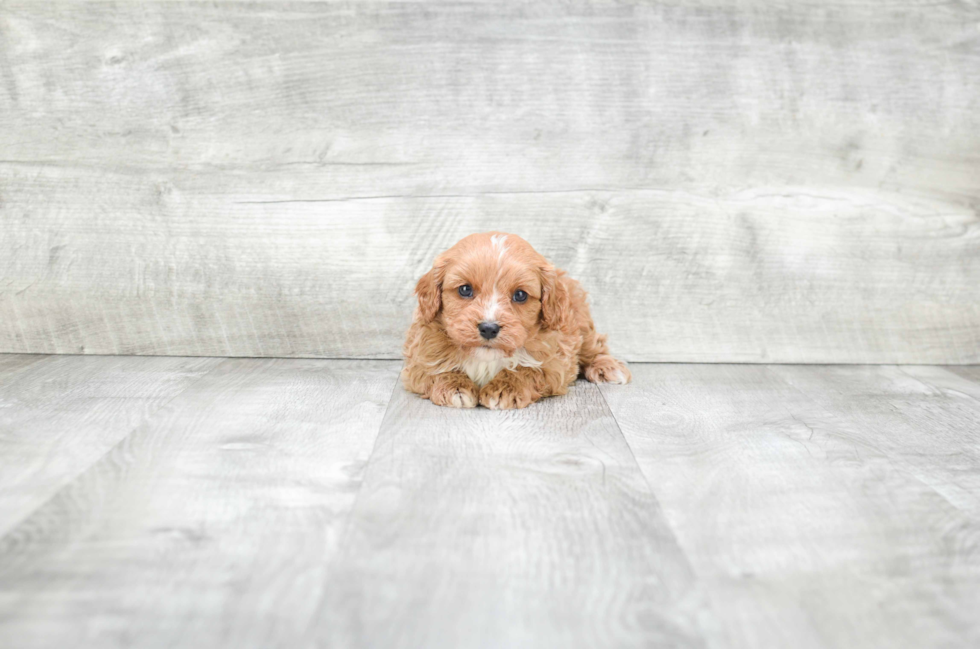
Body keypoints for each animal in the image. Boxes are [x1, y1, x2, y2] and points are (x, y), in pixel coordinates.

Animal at [402, 230, 632, 408]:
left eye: (520, 295)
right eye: (465, 289)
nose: (488, 328)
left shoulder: (555, 362)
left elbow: (527, 370)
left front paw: (505, 389)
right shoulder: (419, 357)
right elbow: (436, 368)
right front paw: (455, 387)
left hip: (581, 322)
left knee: (595, 347)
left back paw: (608, 367)